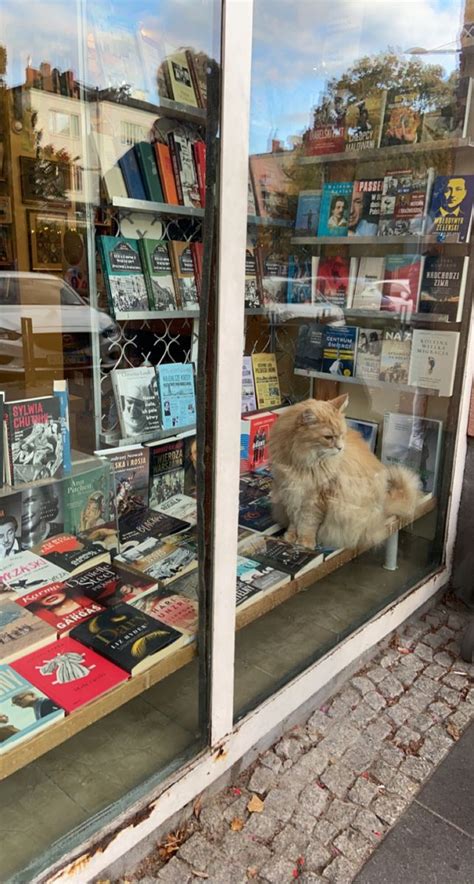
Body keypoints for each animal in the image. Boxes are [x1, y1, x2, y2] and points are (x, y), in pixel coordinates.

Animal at [268, 396, 420, 548]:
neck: (300, 461)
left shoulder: (315, 498)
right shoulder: (290, 492)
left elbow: (307, 523)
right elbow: (294, 520)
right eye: (328, 437)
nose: (340, 448)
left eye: (342, 435)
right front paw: (290, 536)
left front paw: (305, 542)